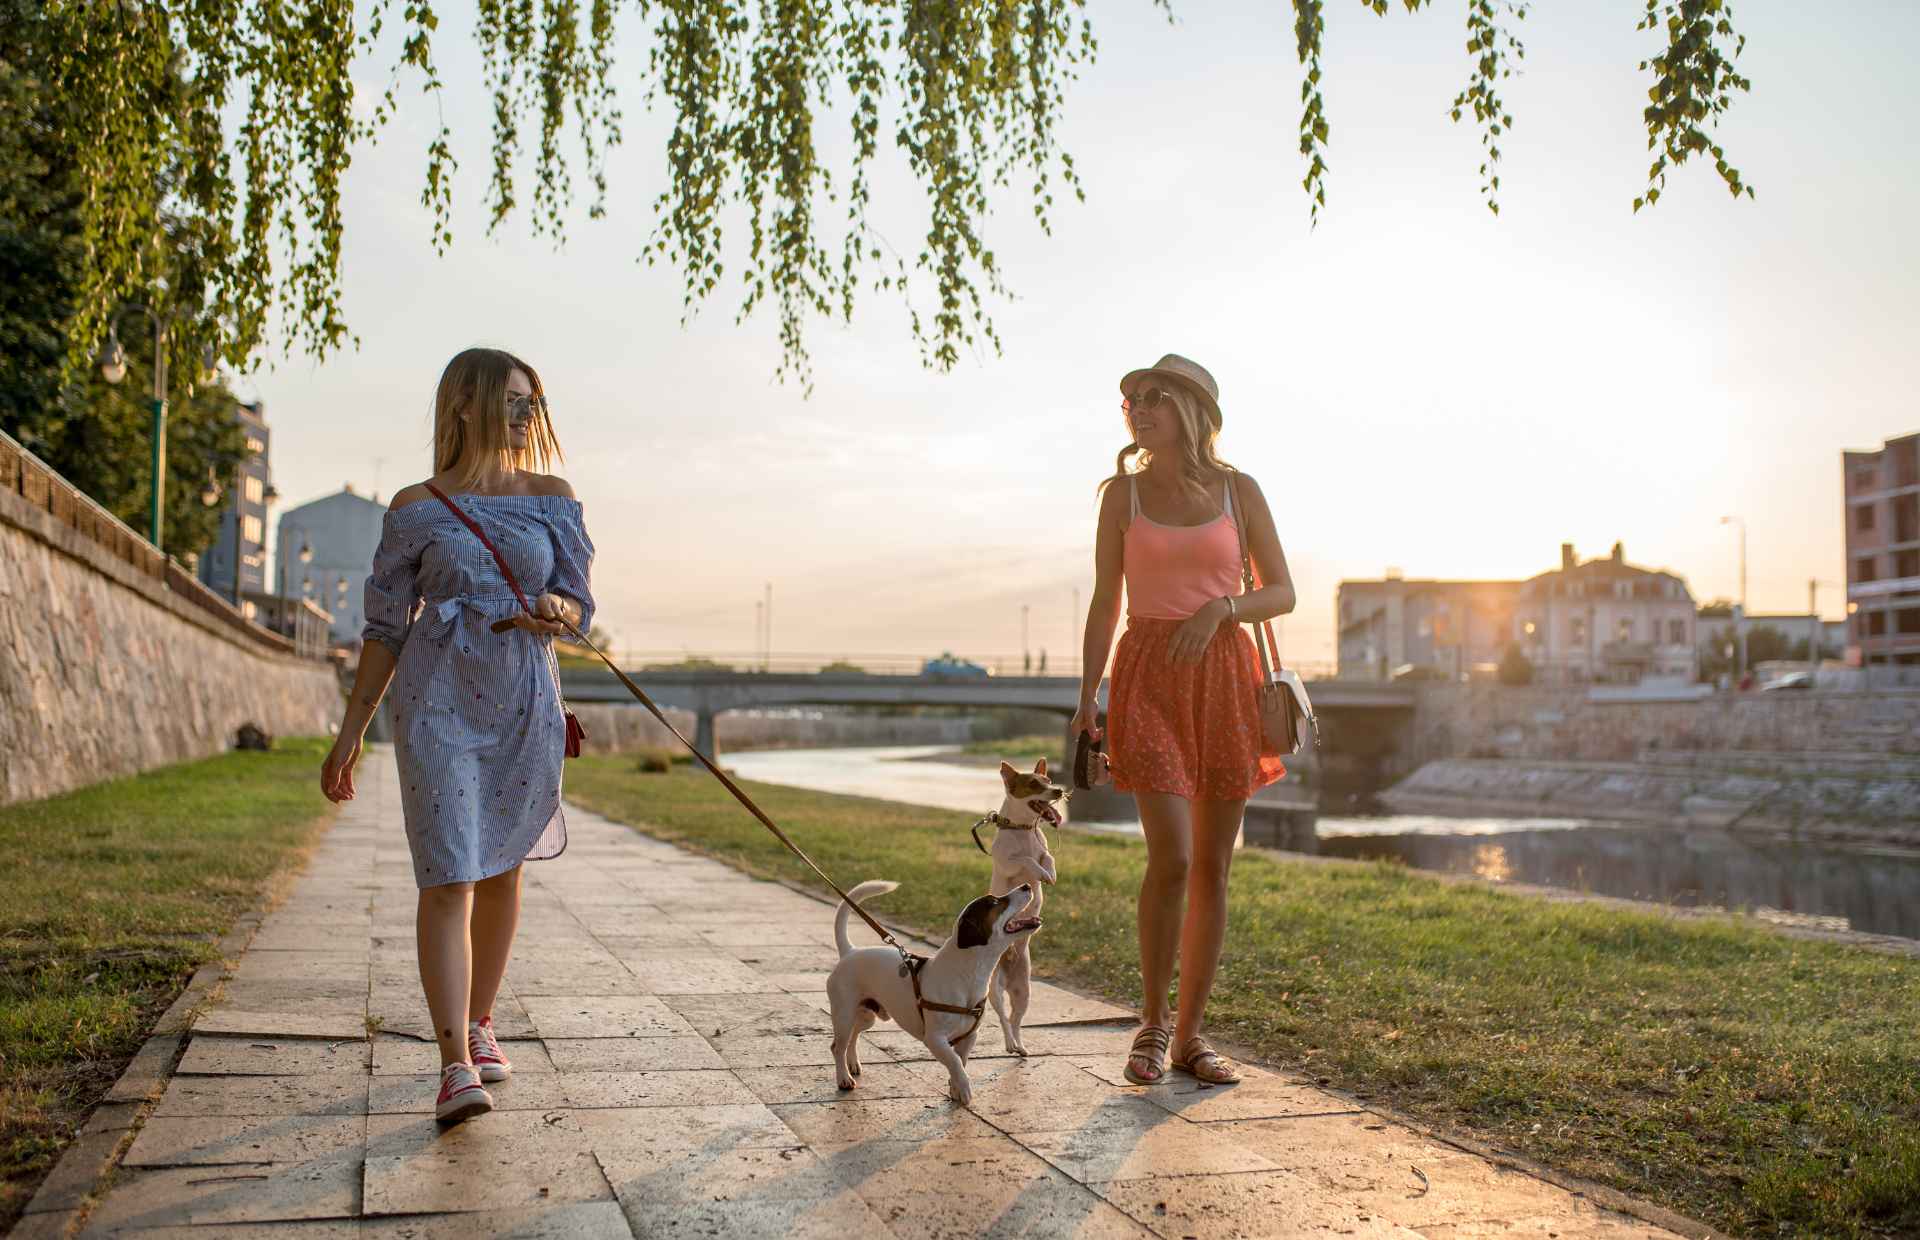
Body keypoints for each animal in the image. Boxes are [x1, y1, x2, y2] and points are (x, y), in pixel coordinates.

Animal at [825, 882, 1036, 1105]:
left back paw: (852, 1064)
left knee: (854, 1036)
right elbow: (955, 1062)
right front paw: (964, 1088)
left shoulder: (969, 1037)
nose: (1026, 885)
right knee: (837, 1046)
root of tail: (850, 952)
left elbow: (960, 1062)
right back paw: (844, 1078)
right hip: (844, 1016)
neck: (968, 974)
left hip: (866, 1016)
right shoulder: (934, 1039)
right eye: (994, 902)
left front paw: (955, 1088)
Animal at [990, 756, 1067, 1059]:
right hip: (995, 991)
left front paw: (1050, 873)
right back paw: (1010, 1044)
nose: (1059, 790)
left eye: (1049, 780)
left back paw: (1020, 1046)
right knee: (1003, 1019)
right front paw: (1040, 872)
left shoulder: (1044, 850)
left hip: (1024, 991)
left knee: (1015, 1019)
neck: (1024, 830)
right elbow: (1025, 860)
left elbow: (1047, 857)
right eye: (1035, 784)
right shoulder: (1010, 863)